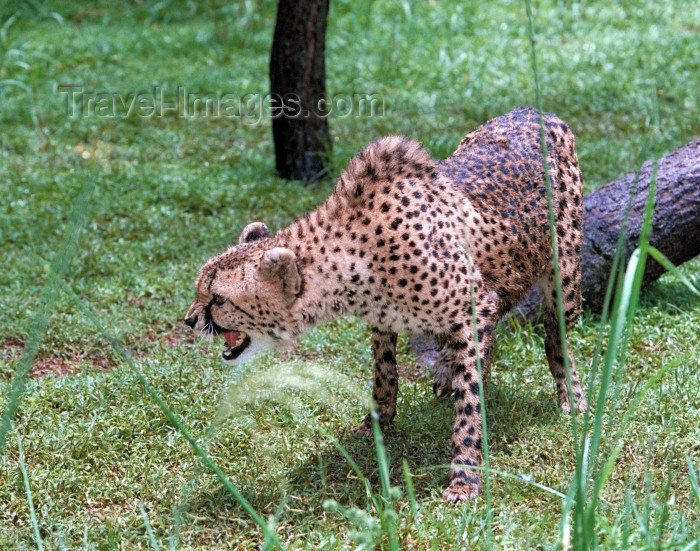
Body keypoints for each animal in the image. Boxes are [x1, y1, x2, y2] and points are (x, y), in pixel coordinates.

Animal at [185, 106, 584, 504]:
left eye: (218, 298)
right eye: (200, 290)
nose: (189, 320)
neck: (355, 251)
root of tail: (532, 111)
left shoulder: (478, 303)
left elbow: (469, 407)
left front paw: (464, 476)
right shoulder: (385, 318)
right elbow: (384, 372)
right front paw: (376, 423)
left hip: (564, 275)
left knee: (555, 337)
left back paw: (572, 399)